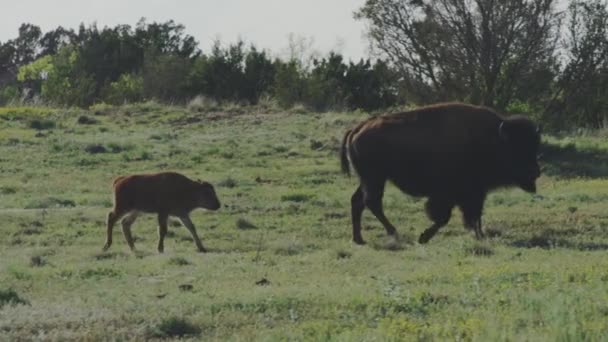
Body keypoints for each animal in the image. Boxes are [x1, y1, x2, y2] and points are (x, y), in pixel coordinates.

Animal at [340, 103, 544, 244]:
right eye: (515, 149)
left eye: (534, 147)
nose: (536, 172)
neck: (491, 139)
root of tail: (357, 128)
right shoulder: (451, 194)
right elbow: (444, 217)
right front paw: (423, 237)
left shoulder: (475, 193)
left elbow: (474, 215)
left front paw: (480, 235)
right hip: (375, 178)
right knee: (372, 202)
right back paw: (393, 232)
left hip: (368, 179)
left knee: (358, 201)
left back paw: (359, 239)